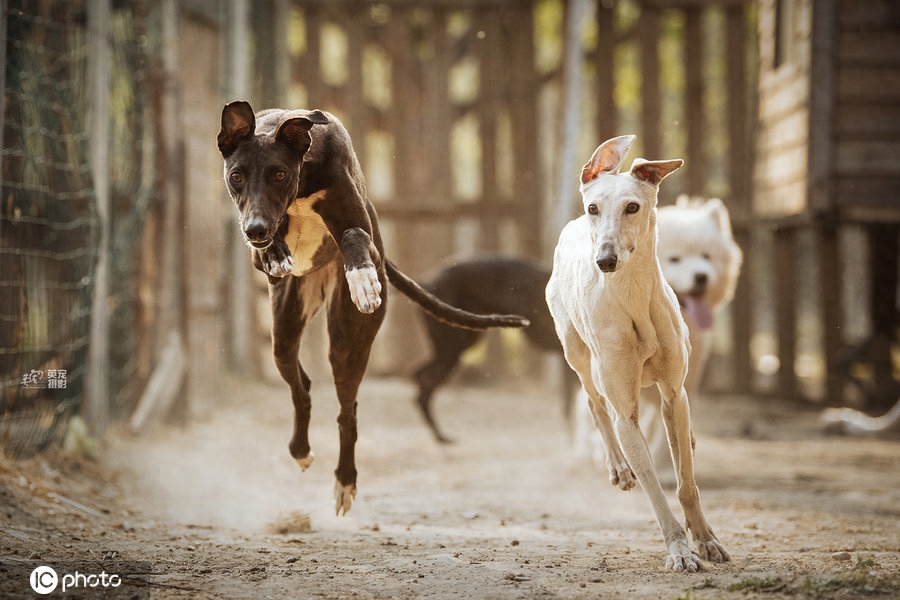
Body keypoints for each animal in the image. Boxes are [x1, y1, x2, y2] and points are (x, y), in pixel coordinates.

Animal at [219, 102, 528, 516]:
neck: (303, 180)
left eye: (280, 174)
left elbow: (353, 233)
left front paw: (363, 278)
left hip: (347, 345)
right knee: (301, 387)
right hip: (283, 333)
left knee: (346, 412)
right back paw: (301, 450)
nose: (255, 228)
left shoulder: (353, 218)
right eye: (236, 176)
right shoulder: (257, 252)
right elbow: (270, 250)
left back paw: (345, 480)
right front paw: (277, 249)